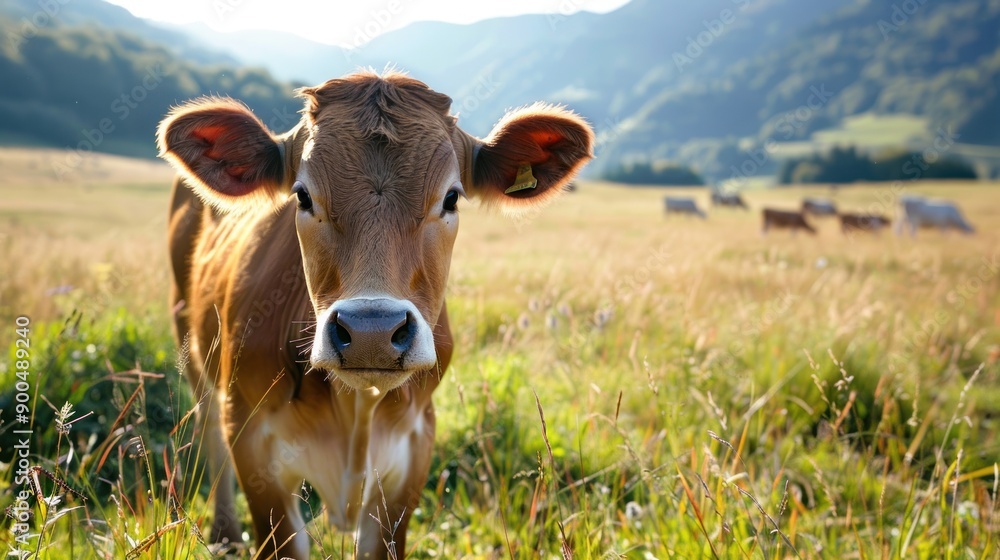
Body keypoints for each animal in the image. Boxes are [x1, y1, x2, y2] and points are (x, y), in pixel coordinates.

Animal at [159, 71, 588, 560]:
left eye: (452, 198)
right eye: (302, 196)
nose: (371, 332)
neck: (355, 410)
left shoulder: (413, 449)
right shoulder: (253, 442)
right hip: (191, 341)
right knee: (208, 426)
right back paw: (226, 532)